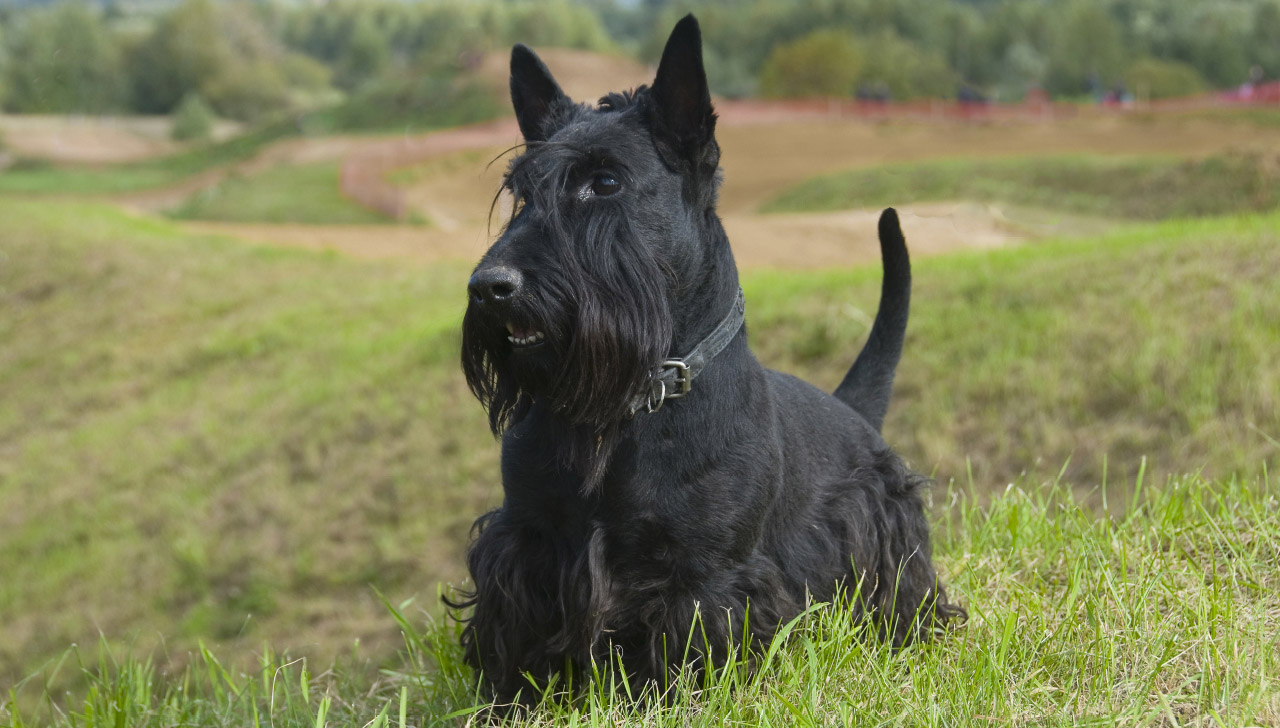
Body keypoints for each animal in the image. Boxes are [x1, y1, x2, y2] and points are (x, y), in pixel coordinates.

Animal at [450, 12, 962, 706]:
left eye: (604, 181)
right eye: (521, 192)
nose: (489, 286)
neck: (631, 406)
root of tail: (854, 413)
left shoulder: (708, 575)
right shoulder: (527, 544)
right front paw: (512, 702)